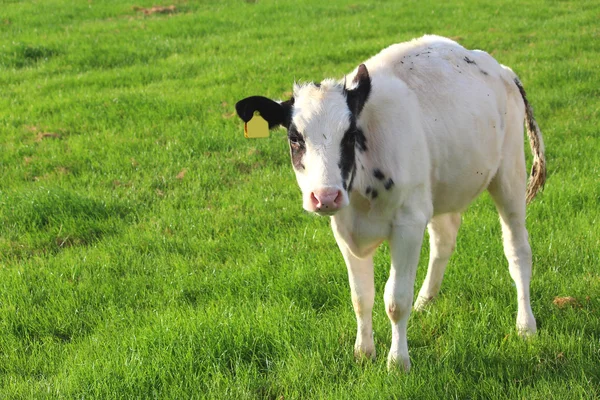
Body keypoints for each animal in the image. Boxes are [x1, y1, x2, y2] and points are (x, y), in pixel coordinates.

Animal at [237, 35, 548, 372]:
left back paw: (526, 325)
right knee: (445, 238)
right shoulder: (344, 229)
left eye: (350, 135)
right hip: (438, 188)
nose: (326, 196)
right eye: (295, 138)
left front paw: (398, 362)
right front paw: (363, 352)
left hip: (509, 174)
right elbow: (361, 296)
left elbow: (396, 299)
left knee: (517, 250)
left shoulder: (408, 223)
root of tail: (502, 70)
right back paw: (425, 301)